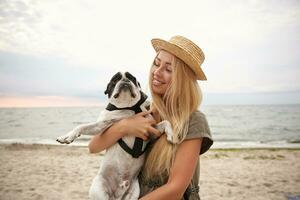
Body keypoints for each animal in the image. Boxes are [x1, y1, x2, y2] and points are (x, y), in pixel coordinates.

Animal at [56, 72, 176, 200]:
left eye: (132, 78)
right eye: (115, 80)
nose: (125, 80)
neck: (128, 108)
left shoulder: (151, 131)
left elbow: (165, 122)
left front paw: (172, 135)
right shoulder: (100, 126)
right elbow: (82, 126)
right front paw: (66, 137)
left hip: (133, 192)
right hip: (99, 188)